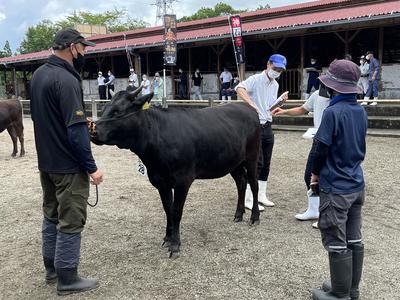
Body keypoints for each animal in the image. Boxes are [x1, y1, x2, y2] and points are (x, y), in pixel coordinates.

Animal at [90, 88, 260, 256]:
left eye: (118, 112)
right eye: (104, 109)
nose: (93, 131)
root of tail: (247, 107)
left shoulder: (183, 180)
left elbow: (177, 210)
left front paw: (175, 244)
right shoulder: (159, 180)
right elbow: (168, 209)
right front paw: (167, 238)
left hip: (252, 157)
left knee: (254, 185)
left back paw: (254, 217)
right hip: (234, 162)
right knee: (241, 182)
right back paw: (238, 214)